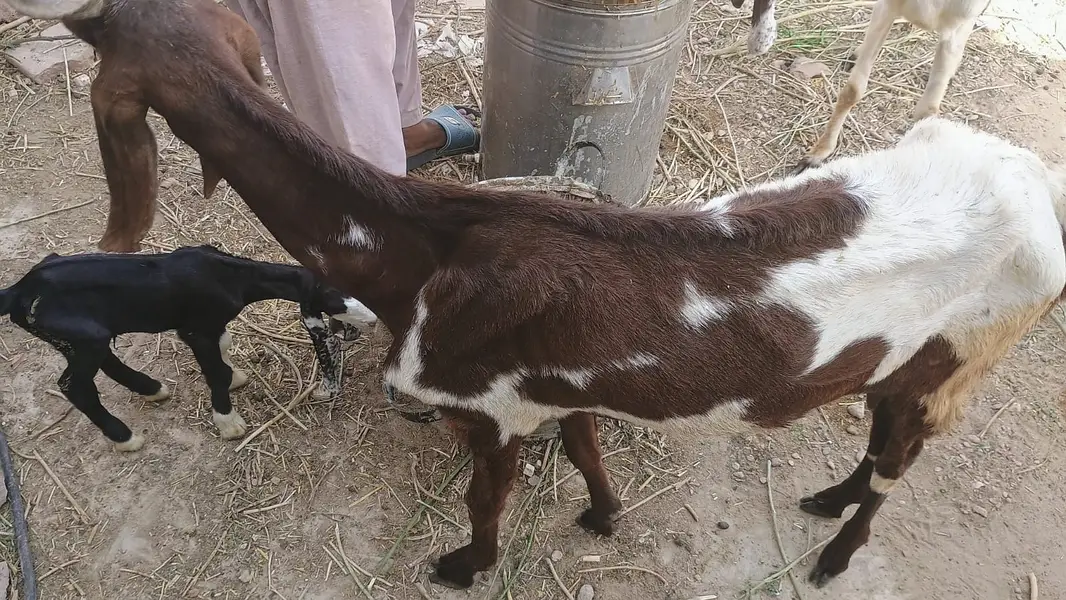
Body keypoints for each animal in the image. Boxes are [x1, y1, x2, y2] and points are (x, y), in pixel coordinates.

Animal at [0, 245, 376, 451]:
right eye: (334, 299)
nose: (373, 319)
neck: (229, 276)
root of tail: (18, 293)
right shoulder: (195, 329)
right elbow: (213, 371)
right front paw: (228, 422)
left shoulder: (211, 326)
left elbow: (224, 347)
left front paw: (235, 376)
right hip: (82, 338)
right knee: (74, 386)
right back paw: (125, 438)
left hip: (85, 338)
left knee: (104, 362)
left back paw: (152, 389)